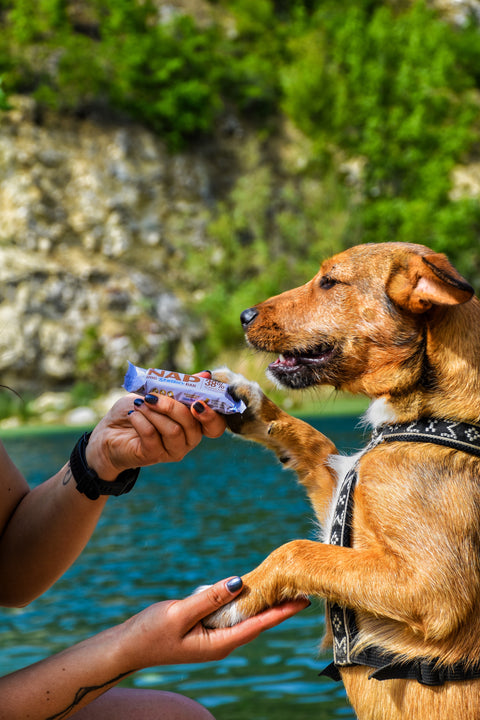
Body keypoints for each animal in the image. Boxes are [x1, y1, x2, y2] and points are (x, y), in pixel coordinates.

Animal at [208, 243, 480, 720]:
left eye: (330, 281)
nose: (242, 315)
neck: (434, 413)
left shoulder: (432, 587)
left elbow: (295, 551)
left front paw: (239, 596)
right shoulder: (339, 500)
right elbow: (315, 443)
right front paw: (247, 400)